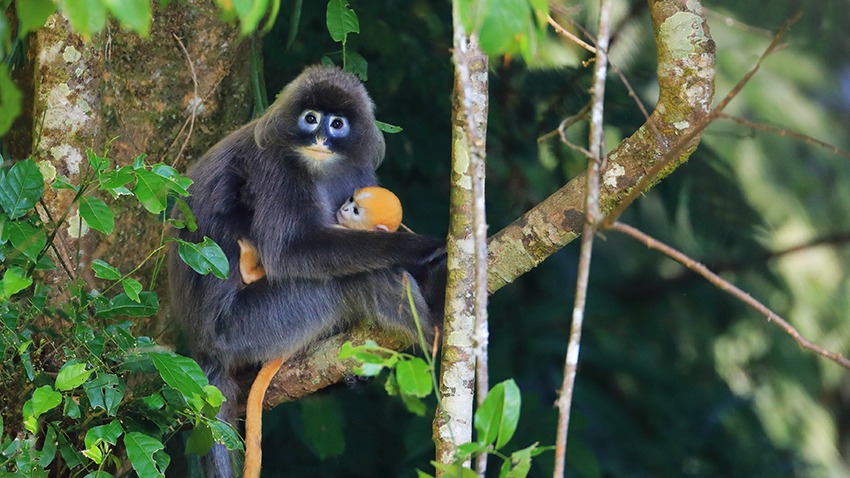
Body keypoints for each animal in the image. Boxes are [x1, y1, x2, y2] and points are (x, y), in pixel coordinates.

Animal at [166, 67, 444, 478]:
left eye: (337, 124)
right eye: (311, 118)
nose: (321, 138)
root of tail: (202, 347)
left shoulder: (356, 171)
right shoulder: (276, 165)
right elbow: (289, 252)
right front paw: (421, 249)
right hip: (248, 328)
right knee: (364, 276)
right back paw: (435, 330)